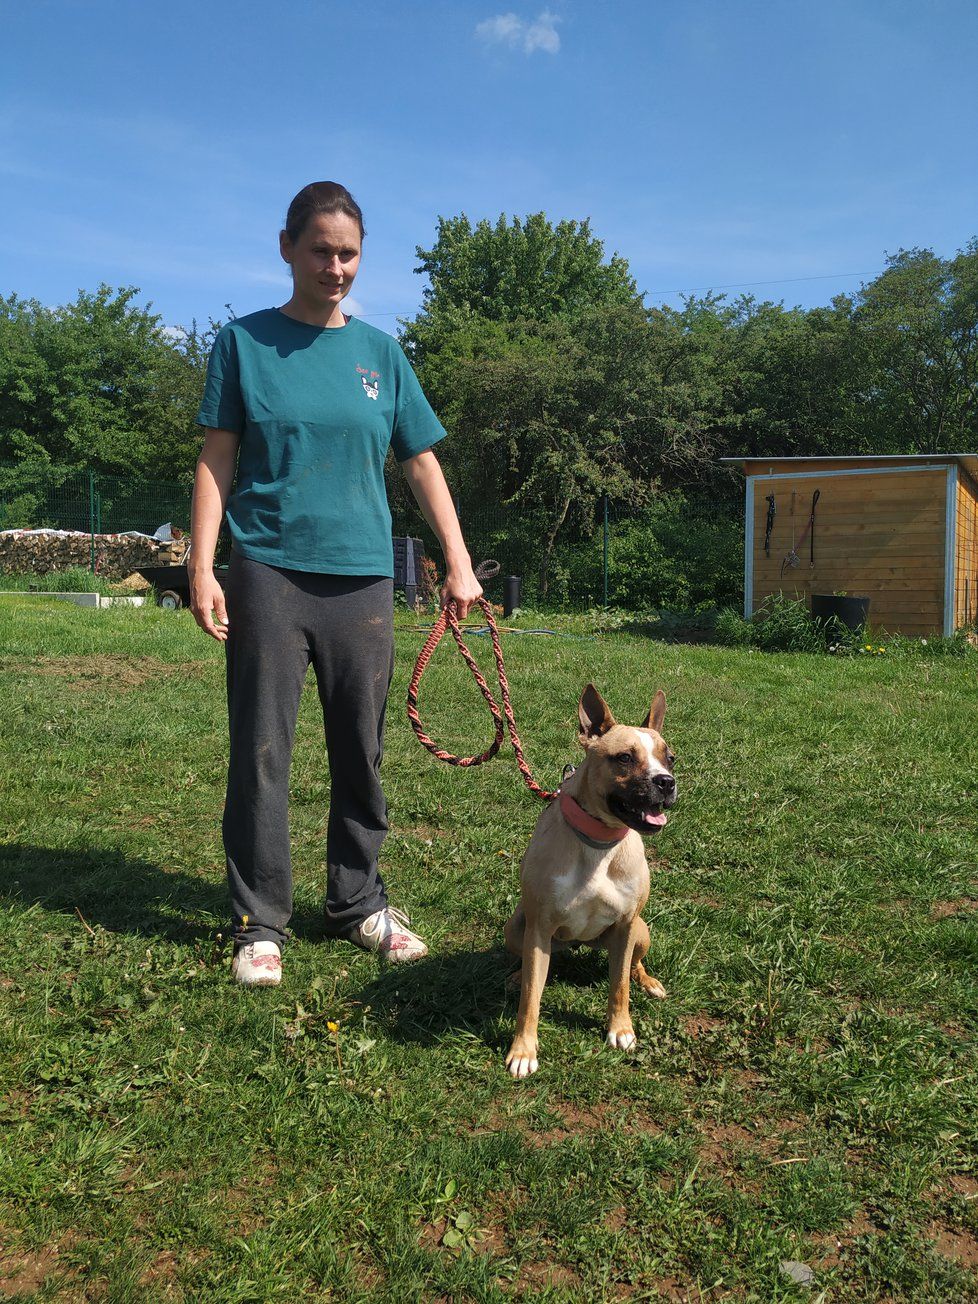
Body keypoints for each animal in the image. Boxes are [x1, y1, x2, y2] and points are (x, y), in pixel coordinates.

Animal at [500, 683, 678, 1079]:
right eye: (624, 758)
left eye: (670, 759)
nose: (666, 782)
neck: (599, 841)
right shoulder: (539, 927)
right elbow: (530, 999)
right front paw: (523, 1050)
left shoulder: (626, 925)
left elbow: (619, 984)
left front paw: (621, 1029)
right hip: (517, 927)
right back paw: (516, 976)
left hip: (641, 930)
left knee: (634, 965)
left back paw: (649, 982)